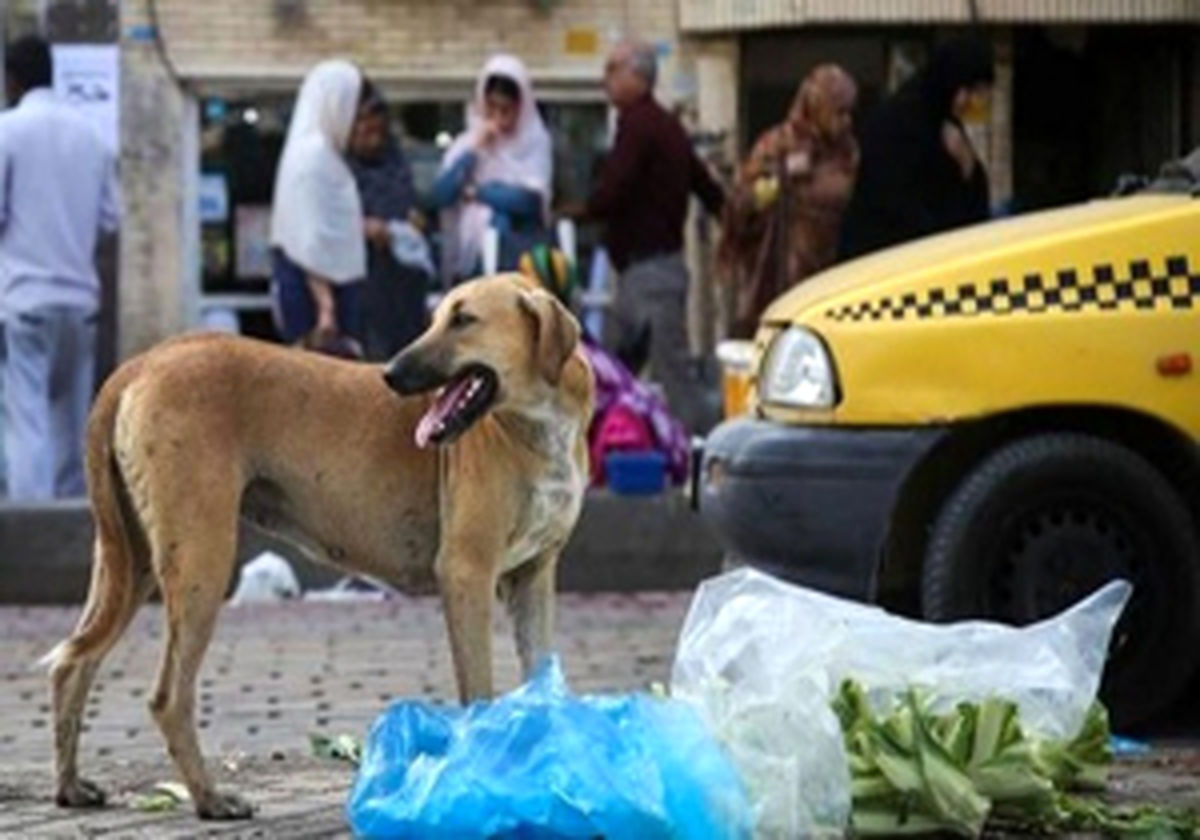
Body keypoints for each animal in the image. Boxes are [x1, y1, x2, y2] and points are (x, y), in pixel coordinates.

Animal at [43, 273, 595, 820]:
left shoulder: (532, 579)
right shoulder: (466, 574)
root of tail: (142, 362)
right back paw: (209, 799)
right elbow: (478, 690)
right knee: (168, 698)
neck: (536, 424)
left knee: (74, 665)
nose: (390, 374)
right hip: (200, 560)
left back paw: (71, 786)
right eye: (437, 318)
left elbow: (544, 680)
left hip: (129, 559)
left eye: (463, 319)